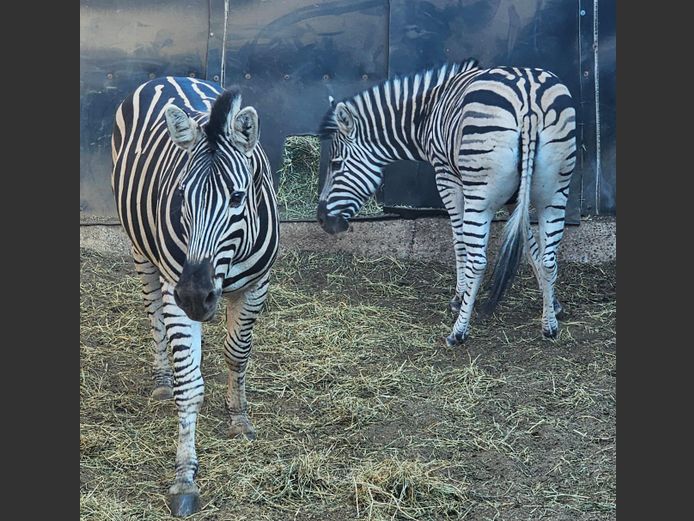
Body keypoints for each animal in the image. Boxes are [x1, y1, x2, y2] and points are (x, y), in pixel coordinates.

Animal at [111, 77, 279, 516]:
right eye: (183, 195)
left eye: (237, 197)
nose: (194, 294)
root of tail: (166, 77)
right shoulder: (176, 288)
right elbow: (190, 384)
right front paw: (184, 476)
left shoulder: (257, 286)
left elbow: (237, 354)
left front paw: (238, 418)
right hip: (142, 251)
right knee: (153, 312)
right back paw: (161, 380)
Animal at [317, 60, 576, 346]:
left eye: (335, 164)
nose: (321, 219)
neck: (426, 115)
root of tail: (528, 96)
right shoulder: (515, 197)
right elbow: (531, 245)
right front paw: (553, 304)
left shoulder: (447, 177)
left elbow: (458, 239)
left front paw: (459, 296)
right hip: (554, 193)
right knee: (550, 257)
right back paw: (549, 327)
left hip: (480, 194)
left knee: (479, 260)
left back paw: (459, 331)